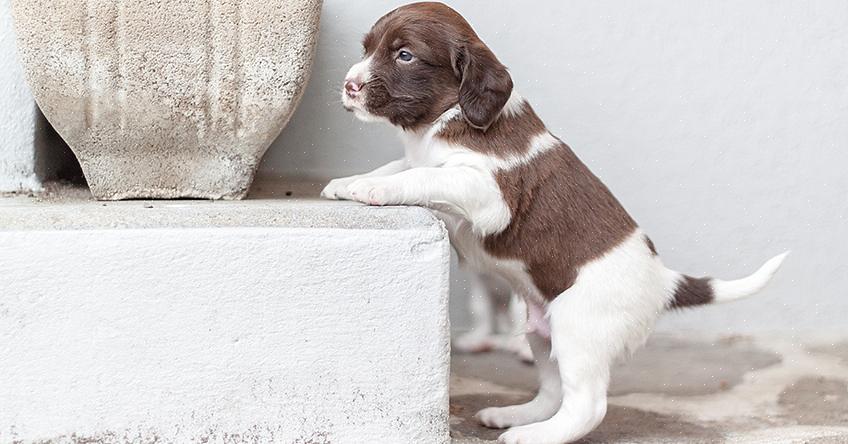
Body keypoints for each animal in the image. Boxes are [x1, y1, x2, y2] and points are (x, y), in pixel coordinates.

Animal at [320, 4, 788, 444]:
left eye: (404, 55)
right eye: (367, 49)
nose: (349, 86)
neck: (447, 117)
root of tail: (664, 280)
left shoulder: (489, 193)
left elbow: (420, 175)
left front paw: (371, 188)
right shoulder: (425, 159)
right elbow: (400, 165)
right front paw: (350, 182)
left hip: (579, 326)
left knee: (587, 405)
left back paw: (532, 435)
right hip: (542, 329)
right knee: (552, 391)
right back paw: (515, 416)